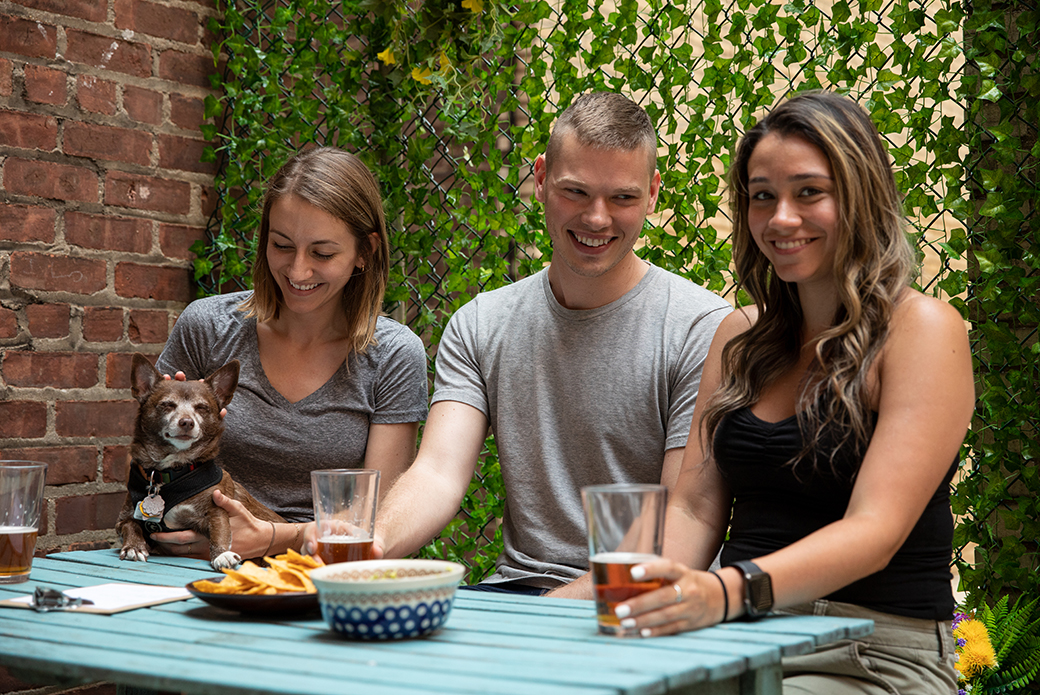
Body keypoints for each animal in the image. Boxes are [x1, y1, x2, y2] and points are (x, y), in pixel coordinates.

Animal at [116, 355, 284, 565]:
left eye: (202, 408)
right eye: (167, 405)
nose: (187, 422)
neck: (173, 469)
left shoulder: (217, 510)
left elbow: (219, 530)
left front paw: (221, 554)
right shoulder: (124, 516)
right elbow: (130, 525)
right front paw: (134, 546)